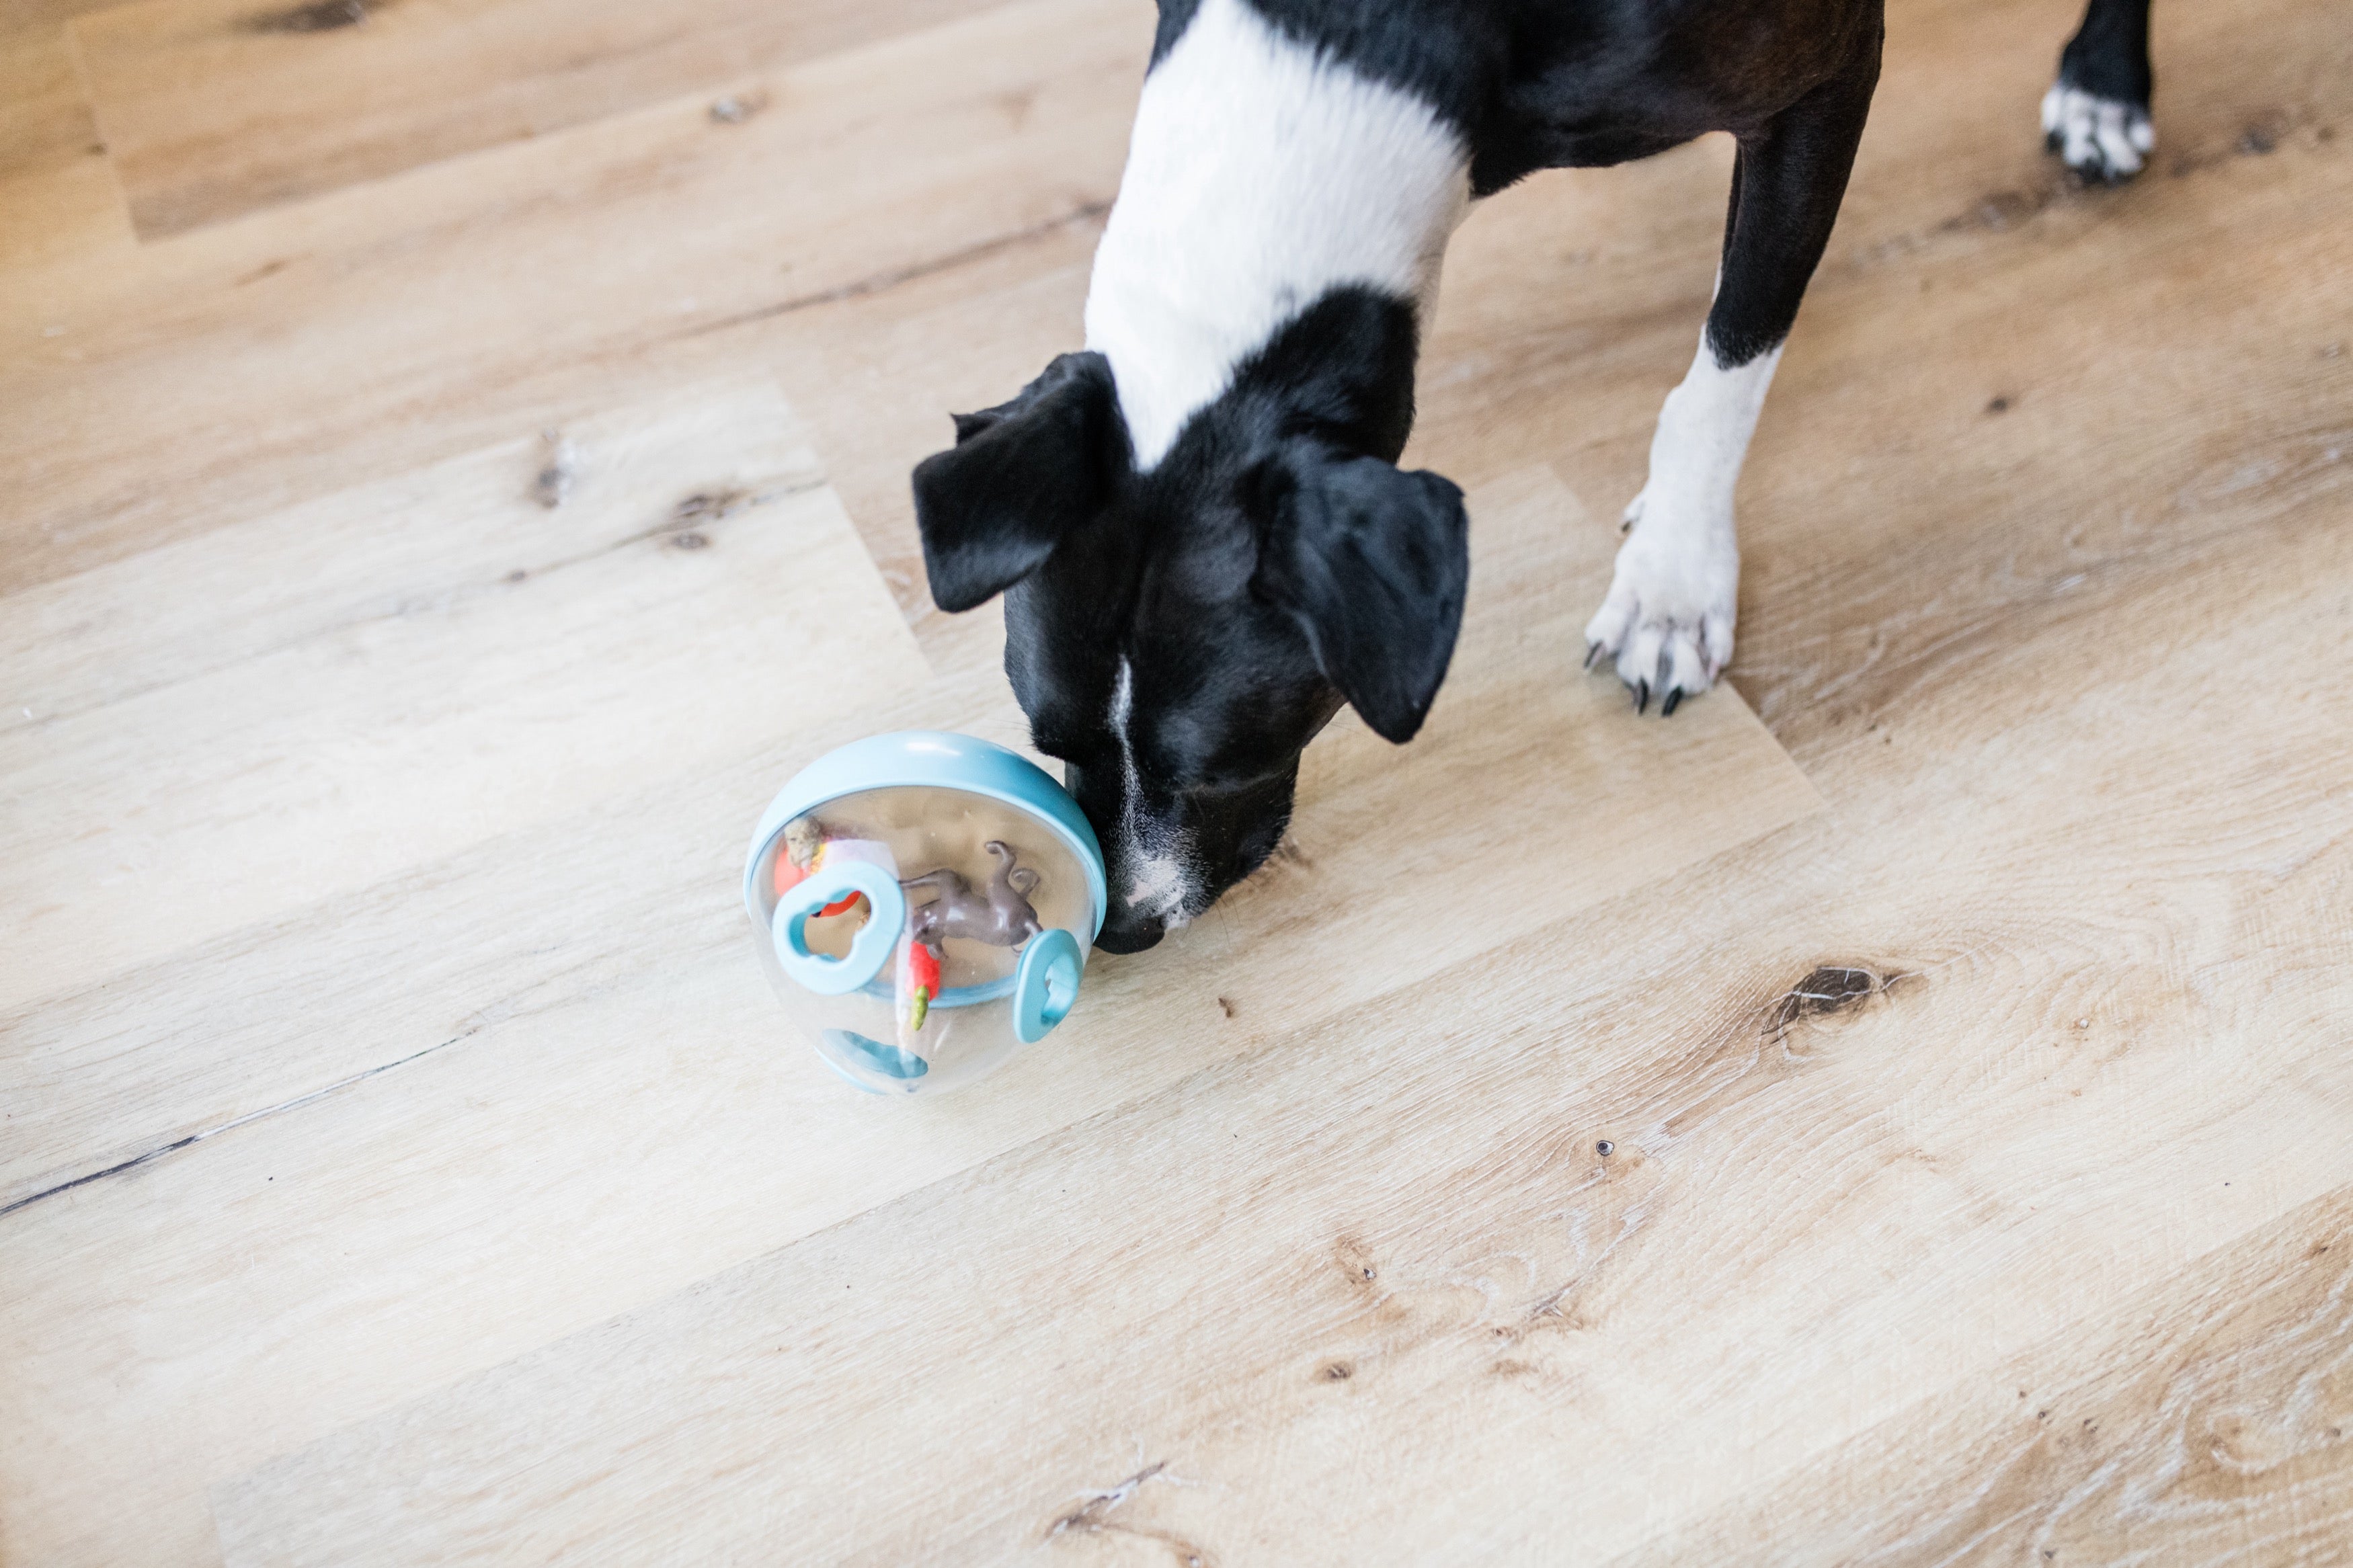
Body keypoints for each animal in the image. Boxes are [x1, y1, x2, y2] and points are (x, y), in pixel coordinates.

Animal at [908, 0, 2155, 950]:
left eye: (1225, 766)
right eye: (1047, 736)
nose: (1123, 926)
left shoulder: (1823, 83)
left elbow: (1732, 359)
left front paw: (1673, 579)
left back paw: (2107, 77)